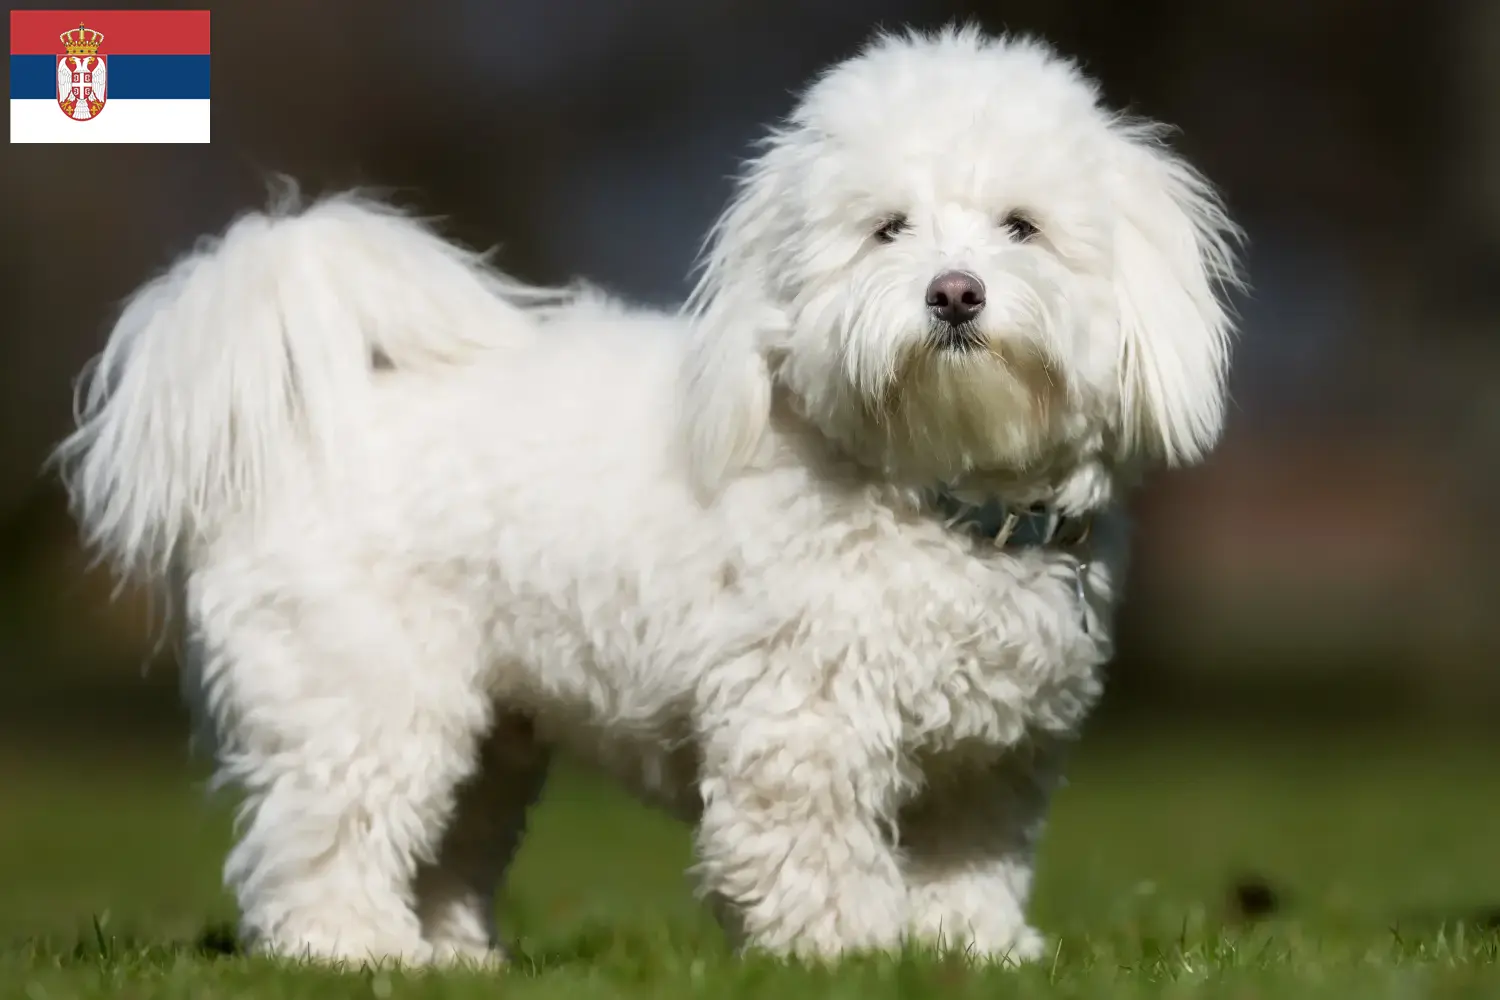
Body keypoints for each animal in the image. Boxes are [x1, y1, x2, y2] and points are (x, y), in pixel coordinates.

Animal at [52, 27, 1236, 971]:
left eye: (1022, 227)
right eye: (888, 228)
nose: (955, 293)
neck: (932, 491)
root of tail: (302, 423)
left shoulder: (989, 759)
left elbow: (968, 864)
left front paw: (970, 950)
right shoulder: (802, 722)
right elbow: (810, 848)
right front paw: (849, 950)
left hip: (490, 732)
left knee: (445, 841)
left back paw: (451, 959)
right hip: (363, 694)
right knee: (320, 838)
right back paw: (350, 950)